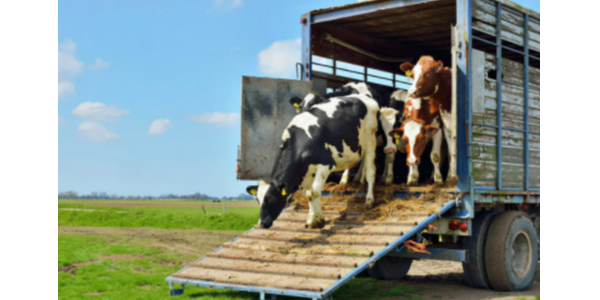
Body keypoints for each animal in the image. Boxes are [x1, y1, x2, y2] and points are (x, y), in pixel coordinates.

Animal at [247, 91, 380, 230]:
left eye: (272, 198)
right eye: (258, 200)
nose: (262, 223)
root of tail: (364, 96)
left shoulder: (326, 164)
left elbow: (314, 192)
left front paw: (317, 221)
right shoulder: (308, 170)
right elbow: (309, 193)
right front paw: (312, 218)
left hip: (371, 140)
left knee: (371, 171)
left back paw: (369, 199)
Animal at [392, 54, 458, 185]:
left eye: (427, 73)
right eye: (412, 74)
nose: (412, 92)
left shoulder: (438, 129)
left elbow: (435, 155)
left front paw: (439, 179)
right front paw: (412, 177)